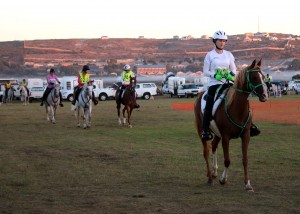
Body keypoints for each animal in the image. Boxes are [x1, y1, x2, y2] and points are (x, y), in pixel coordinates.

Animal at [195, 59, 268, 191]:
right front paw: (223, 179)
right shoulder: (226, 137)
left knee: (213, 146)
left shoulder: (246, 135)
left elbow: (245, 160)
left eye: (263, 77)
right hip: (202, 131)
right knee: (206, 151)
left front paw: (247, 184)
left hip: (217, 134)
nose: (265, 96)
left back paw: (214, 172)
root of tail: (200, 94)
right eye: (254, 77)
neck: (236, 109)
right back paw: (210, 178)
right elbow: (227, 160)